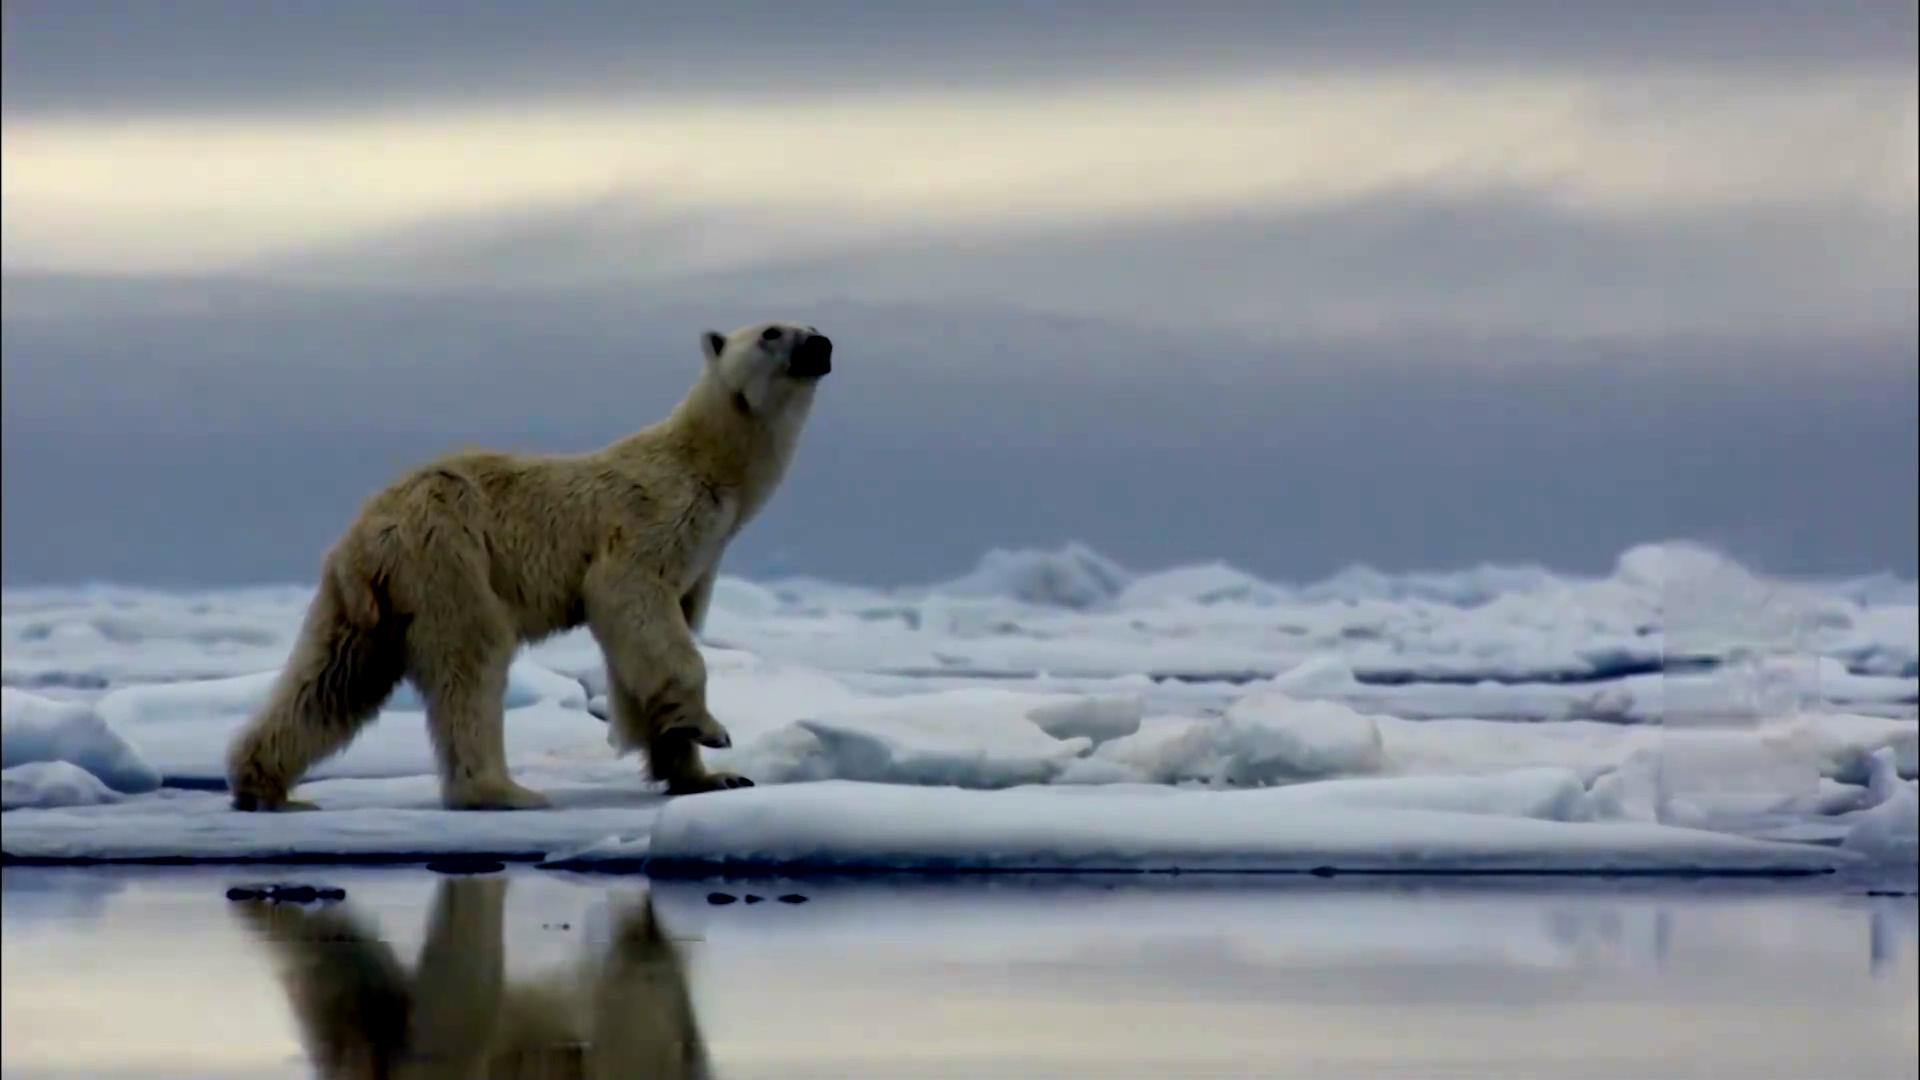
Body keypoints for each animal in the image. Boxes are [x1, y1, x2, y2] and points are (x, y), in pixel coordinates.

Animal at [224, 319, 833, 807]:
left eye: (806, 324)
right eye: (772, 331)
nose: (822, 343)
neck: (710, 467)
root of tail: (367, 530)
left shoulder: (704, 558)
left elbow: (651, 645)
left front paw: (710, 777)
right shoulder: (652, 522)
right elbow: (635, 607)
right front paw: (713, 731)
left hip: (365, 599)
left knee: (333, 678)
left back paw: (260, 781)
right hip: (448, 556)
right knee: (472, 658)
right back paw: (501, 789)